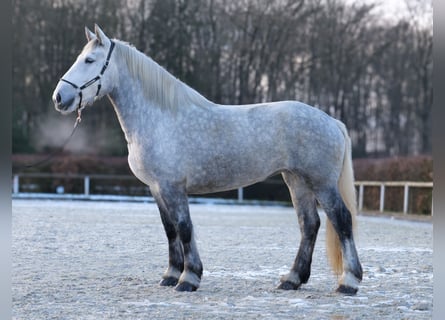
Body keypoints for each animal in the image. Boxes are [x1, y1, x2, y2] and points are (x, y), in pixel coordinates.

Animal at [53, 25, 362, 294]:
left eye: (90, 60)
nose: (59, 97)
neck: (159, 118)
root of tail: (332, 121)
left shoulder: (173, 187)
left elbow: (184, 228)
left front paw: (189, 278)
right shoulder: (156, 188)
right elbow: (170, 230)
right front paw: (171, 275)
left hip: (321, 183)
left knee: (341, 219)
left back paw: (349, 282)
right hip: (296, 180)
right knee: (309, 224)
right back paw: (293, 279)